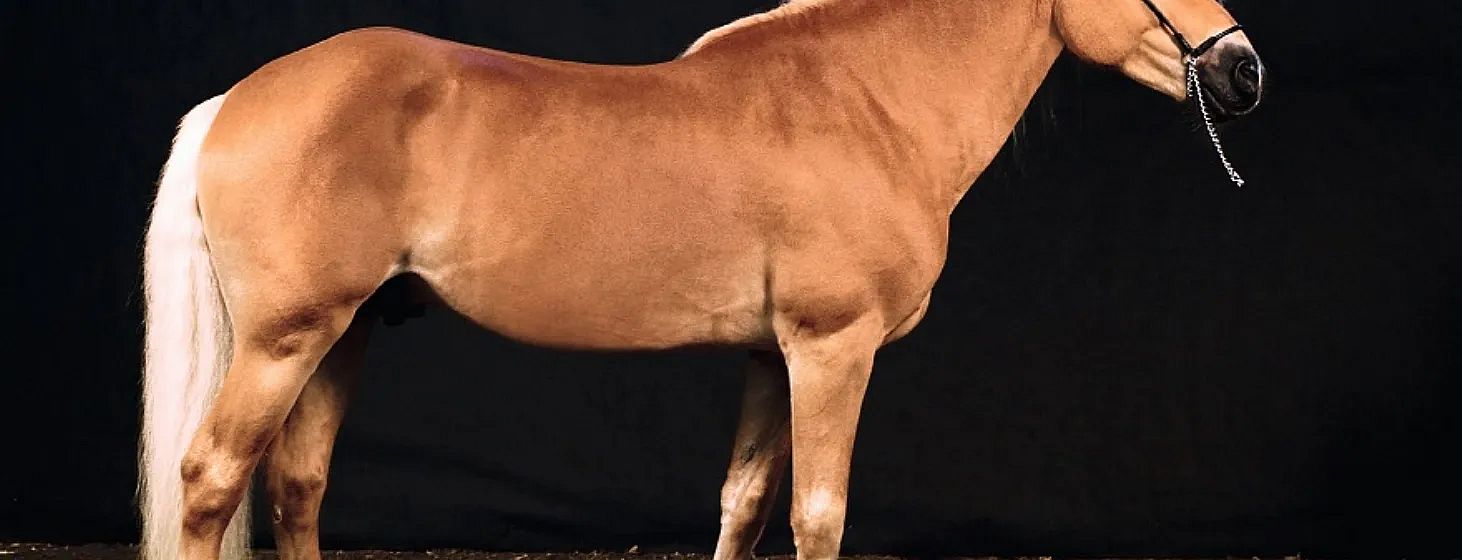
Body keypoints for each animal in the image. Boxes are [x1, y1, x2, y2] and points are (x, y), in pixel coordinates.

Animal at [139, 0, 1264, 558]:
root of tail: (238, 98)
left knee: (296, 485)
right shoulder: (832, 349)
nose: (1244, 68)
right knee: (212, 480)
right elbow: (817, 513)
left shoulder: (774, 357)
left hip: (348, 329)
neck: (864, 105)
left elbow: (745, 502)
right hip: (286, 337)